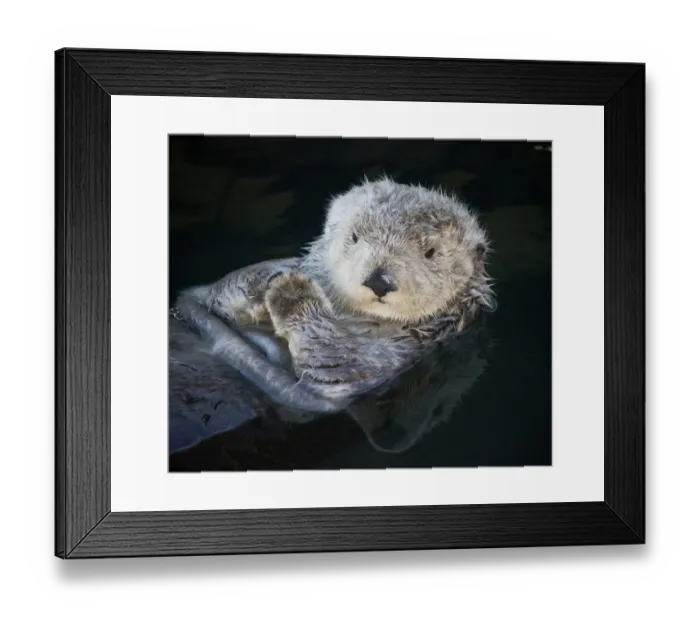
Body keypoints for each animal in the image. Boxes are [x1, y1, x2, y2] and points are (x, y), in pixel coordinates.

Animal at [170, 177, 496, 453]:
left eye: (430, 252)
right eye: (354, 237)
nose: (379, 281)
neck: (345, 313)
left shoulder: (393, 355)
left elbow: (333, 358)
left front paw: (292, 290)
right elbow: (219, 295)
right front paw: (269, 277)